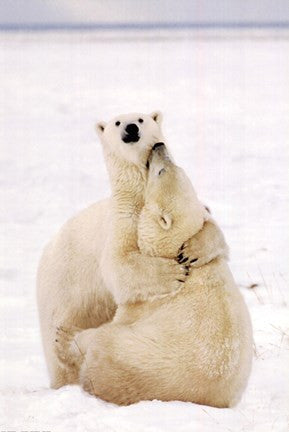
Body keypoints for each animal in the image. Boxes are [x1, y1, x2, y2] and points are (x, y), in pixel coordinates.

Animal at [36, 110, 187, 388]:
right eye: (117, 122)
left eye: (141, 119)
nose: (130, 128)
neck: (139, 197)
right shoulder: (121, 222)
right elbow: (119, 264)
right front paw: (173, 273)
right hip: (63, 293)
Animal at [54, 143, 252, 406]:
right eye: (175, 165)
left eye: (161, 172)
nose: (159, 146)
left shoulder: (145, 303)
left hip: (125, 350)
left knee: (102, 339)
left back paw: (65, 339)